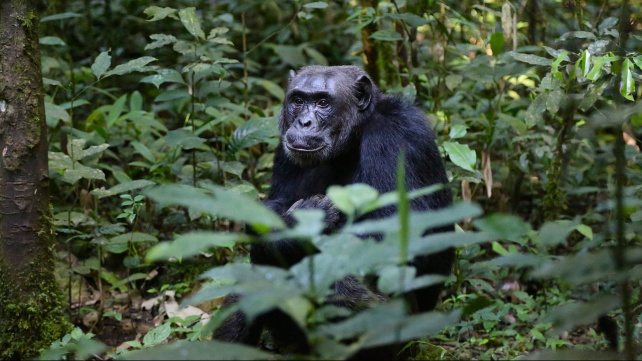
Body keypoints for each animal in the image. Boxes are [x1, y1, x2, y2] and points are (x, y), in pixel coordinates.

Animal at [214, 64, 450, 354]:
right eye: (298, 101)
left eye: (323, 103)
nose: (304, 122)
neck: (354, 137)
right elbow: (274, 206)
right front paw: (292, 228)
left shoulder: (397, 137)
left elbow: (397, 235)